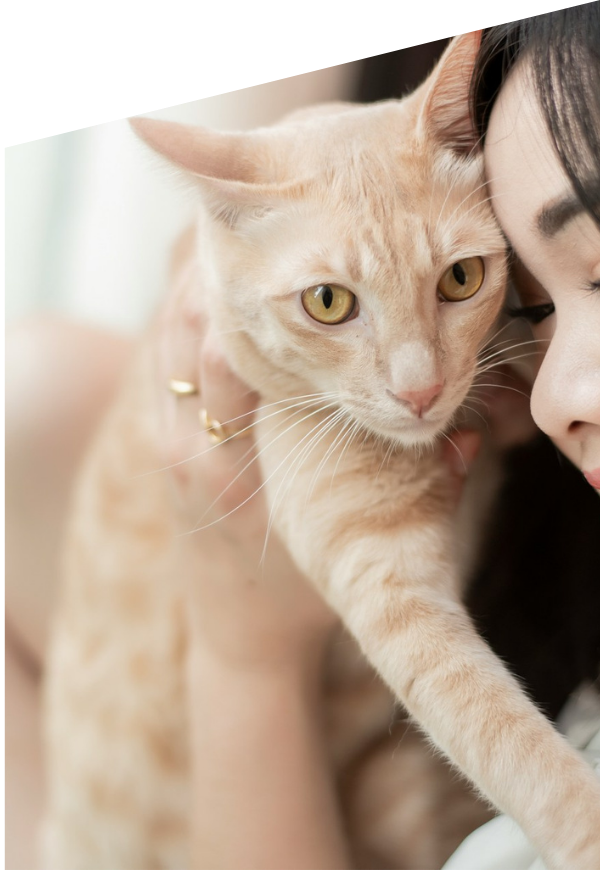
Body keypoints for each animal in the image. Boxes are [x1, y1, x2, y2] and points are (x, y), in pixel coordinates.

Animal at [42, 32, 600, 870]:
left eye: (461, 279)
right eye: (328, 302)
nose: (420, 392)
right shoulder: (390, 588)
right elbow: (509, 742)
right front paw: (586, 826)